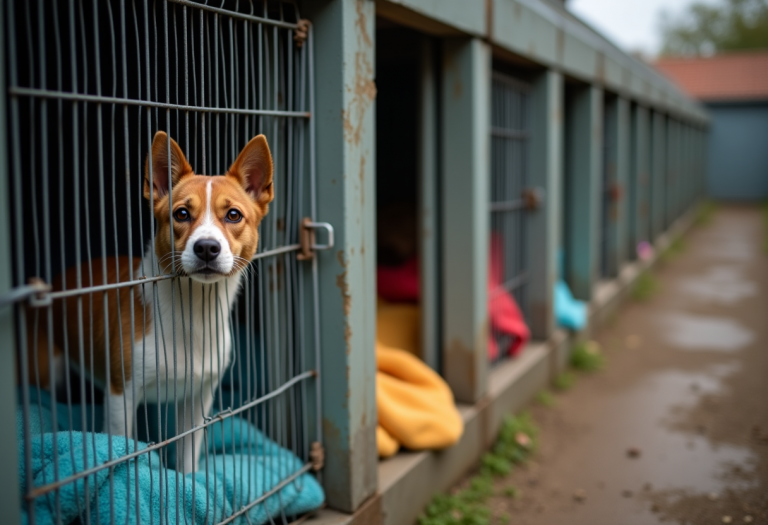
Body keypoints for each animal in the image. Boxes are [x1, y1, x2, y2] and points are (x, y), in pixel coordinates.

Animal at [27, 130, 272, 470]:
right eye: (181, 213)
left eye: (233, 215)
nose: (206, 248)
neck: (194, 310)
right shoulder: (122, 395)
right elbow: (123, 448)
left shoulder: (199, 398)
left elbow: (187, 454)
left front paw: (188, 481)